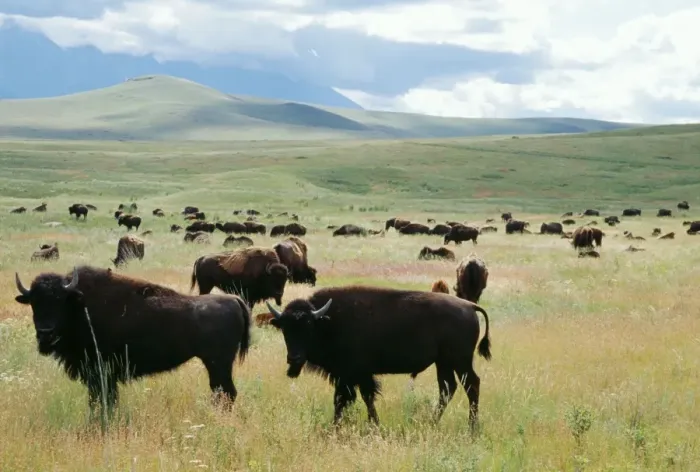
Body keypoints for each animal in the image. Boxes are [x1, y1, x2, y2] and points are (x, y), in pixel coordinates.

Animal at [14, 266, 251, 412]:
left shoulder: (101, 373)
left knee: (226, 393)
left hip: (218, 363)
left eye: (59, 301)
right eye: (33, 302)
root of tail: (234, 300)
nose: (45, 333)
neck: (80, 307)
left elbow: (101, 401)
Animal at [265, 286, 491, 430]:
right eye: (284, 328)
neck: (328, 321)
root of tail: (470, 306)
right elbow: (353, 399)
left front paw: (359, 425)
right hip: (443, 363)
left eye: (308, 326)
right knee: (447, 388)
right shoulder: (350, 376)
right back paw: (431, 423)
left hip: (460, 361)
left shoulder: (354, 375)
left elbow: (353, 398)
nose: (294, 358)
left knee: (471, 385)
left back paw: (472, 428)